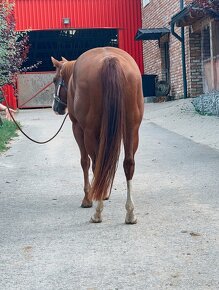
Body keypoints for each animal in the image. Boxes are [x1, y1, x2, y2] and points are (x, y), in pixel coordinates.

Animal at [51, 47, 144, 224]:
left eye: (54, 80)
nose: (56, 107)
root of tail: (110, 60)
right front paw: (104, 192)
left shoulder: (78, 128)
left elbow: (85, 162)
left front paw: (88, 198)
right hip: (132, 128)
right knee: (128, 163)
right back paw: (130, 213)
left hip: (89, 132)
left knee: (95, 164)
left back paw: (98, 213)